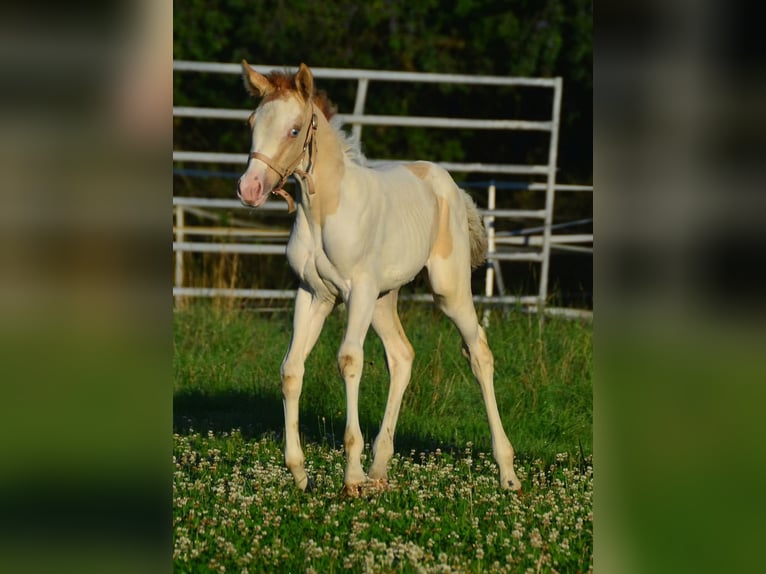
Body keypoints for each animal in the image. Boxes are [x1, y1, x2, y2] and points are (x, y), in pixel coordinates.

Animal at [237, 62, 520, 496]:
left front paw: (351, 477)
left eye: (295, 129)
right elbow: (291, 368)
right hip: (385, 298)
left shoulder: (358, 291)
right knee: (402, 355)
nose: (249, 189)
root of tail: (451, 187)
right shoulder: (313, 294)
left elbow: (349, 360)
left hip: (447, 289)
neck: (323, 210)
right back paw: (379, 467)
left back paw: (507, 472)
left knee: (479, 354)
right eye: (252, 122)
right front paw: (299, 472)